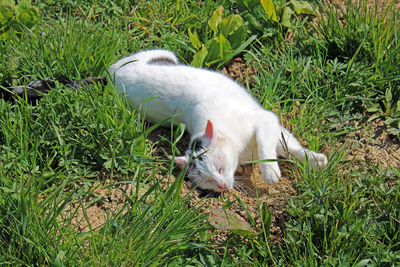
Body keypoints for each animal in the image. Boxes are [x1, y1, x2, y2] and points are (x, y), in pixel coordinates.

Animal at [109, 49, 328, 193]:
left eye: (220, 167)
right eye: (207, 181)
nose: (221, 185)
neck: (243, 151)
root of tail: (110, 74)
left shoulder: (265, 119)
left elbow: (284, 145)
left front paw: (280, 169)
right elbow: (283, 144)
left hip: (165, 53)